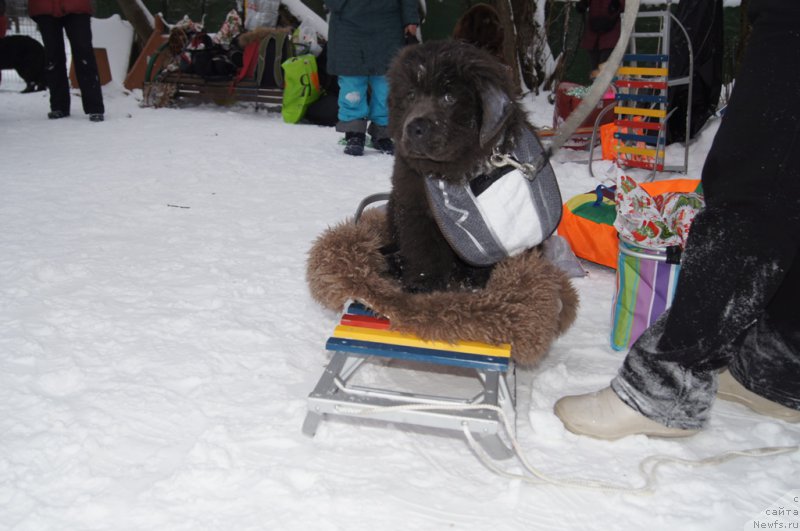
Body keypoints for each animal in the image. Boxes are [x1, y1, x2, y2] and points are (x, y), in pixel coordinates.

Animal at [386, 41, 536, 296]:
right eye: (411, 95)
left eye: (449, 97)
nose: (415, 127)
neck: (452, 171)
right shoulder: (413, 207)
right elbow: (422, 246)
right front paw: (423, 282)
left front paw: (477, 282)